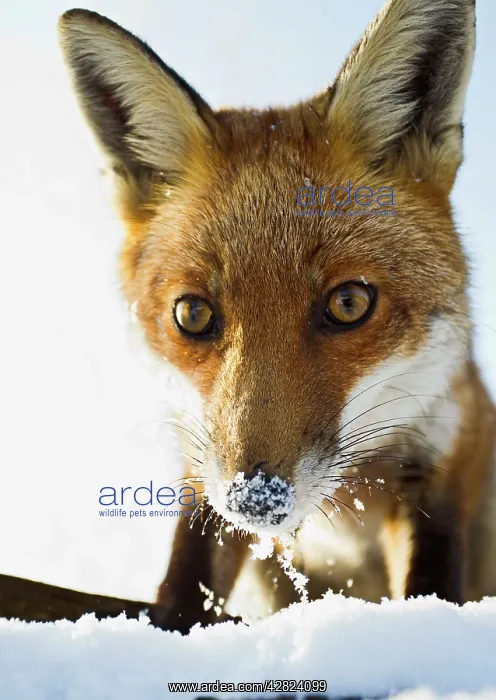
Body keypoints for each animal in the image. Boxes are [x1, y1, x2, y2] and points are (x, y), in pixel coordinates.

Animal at [58, 0, 496, 633]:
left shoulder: (442, 450)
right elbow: (186, 579)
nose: (256, 499)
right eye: (193, 314)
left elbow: (430, 587)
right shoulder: (202, 467)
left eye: (348, 303)